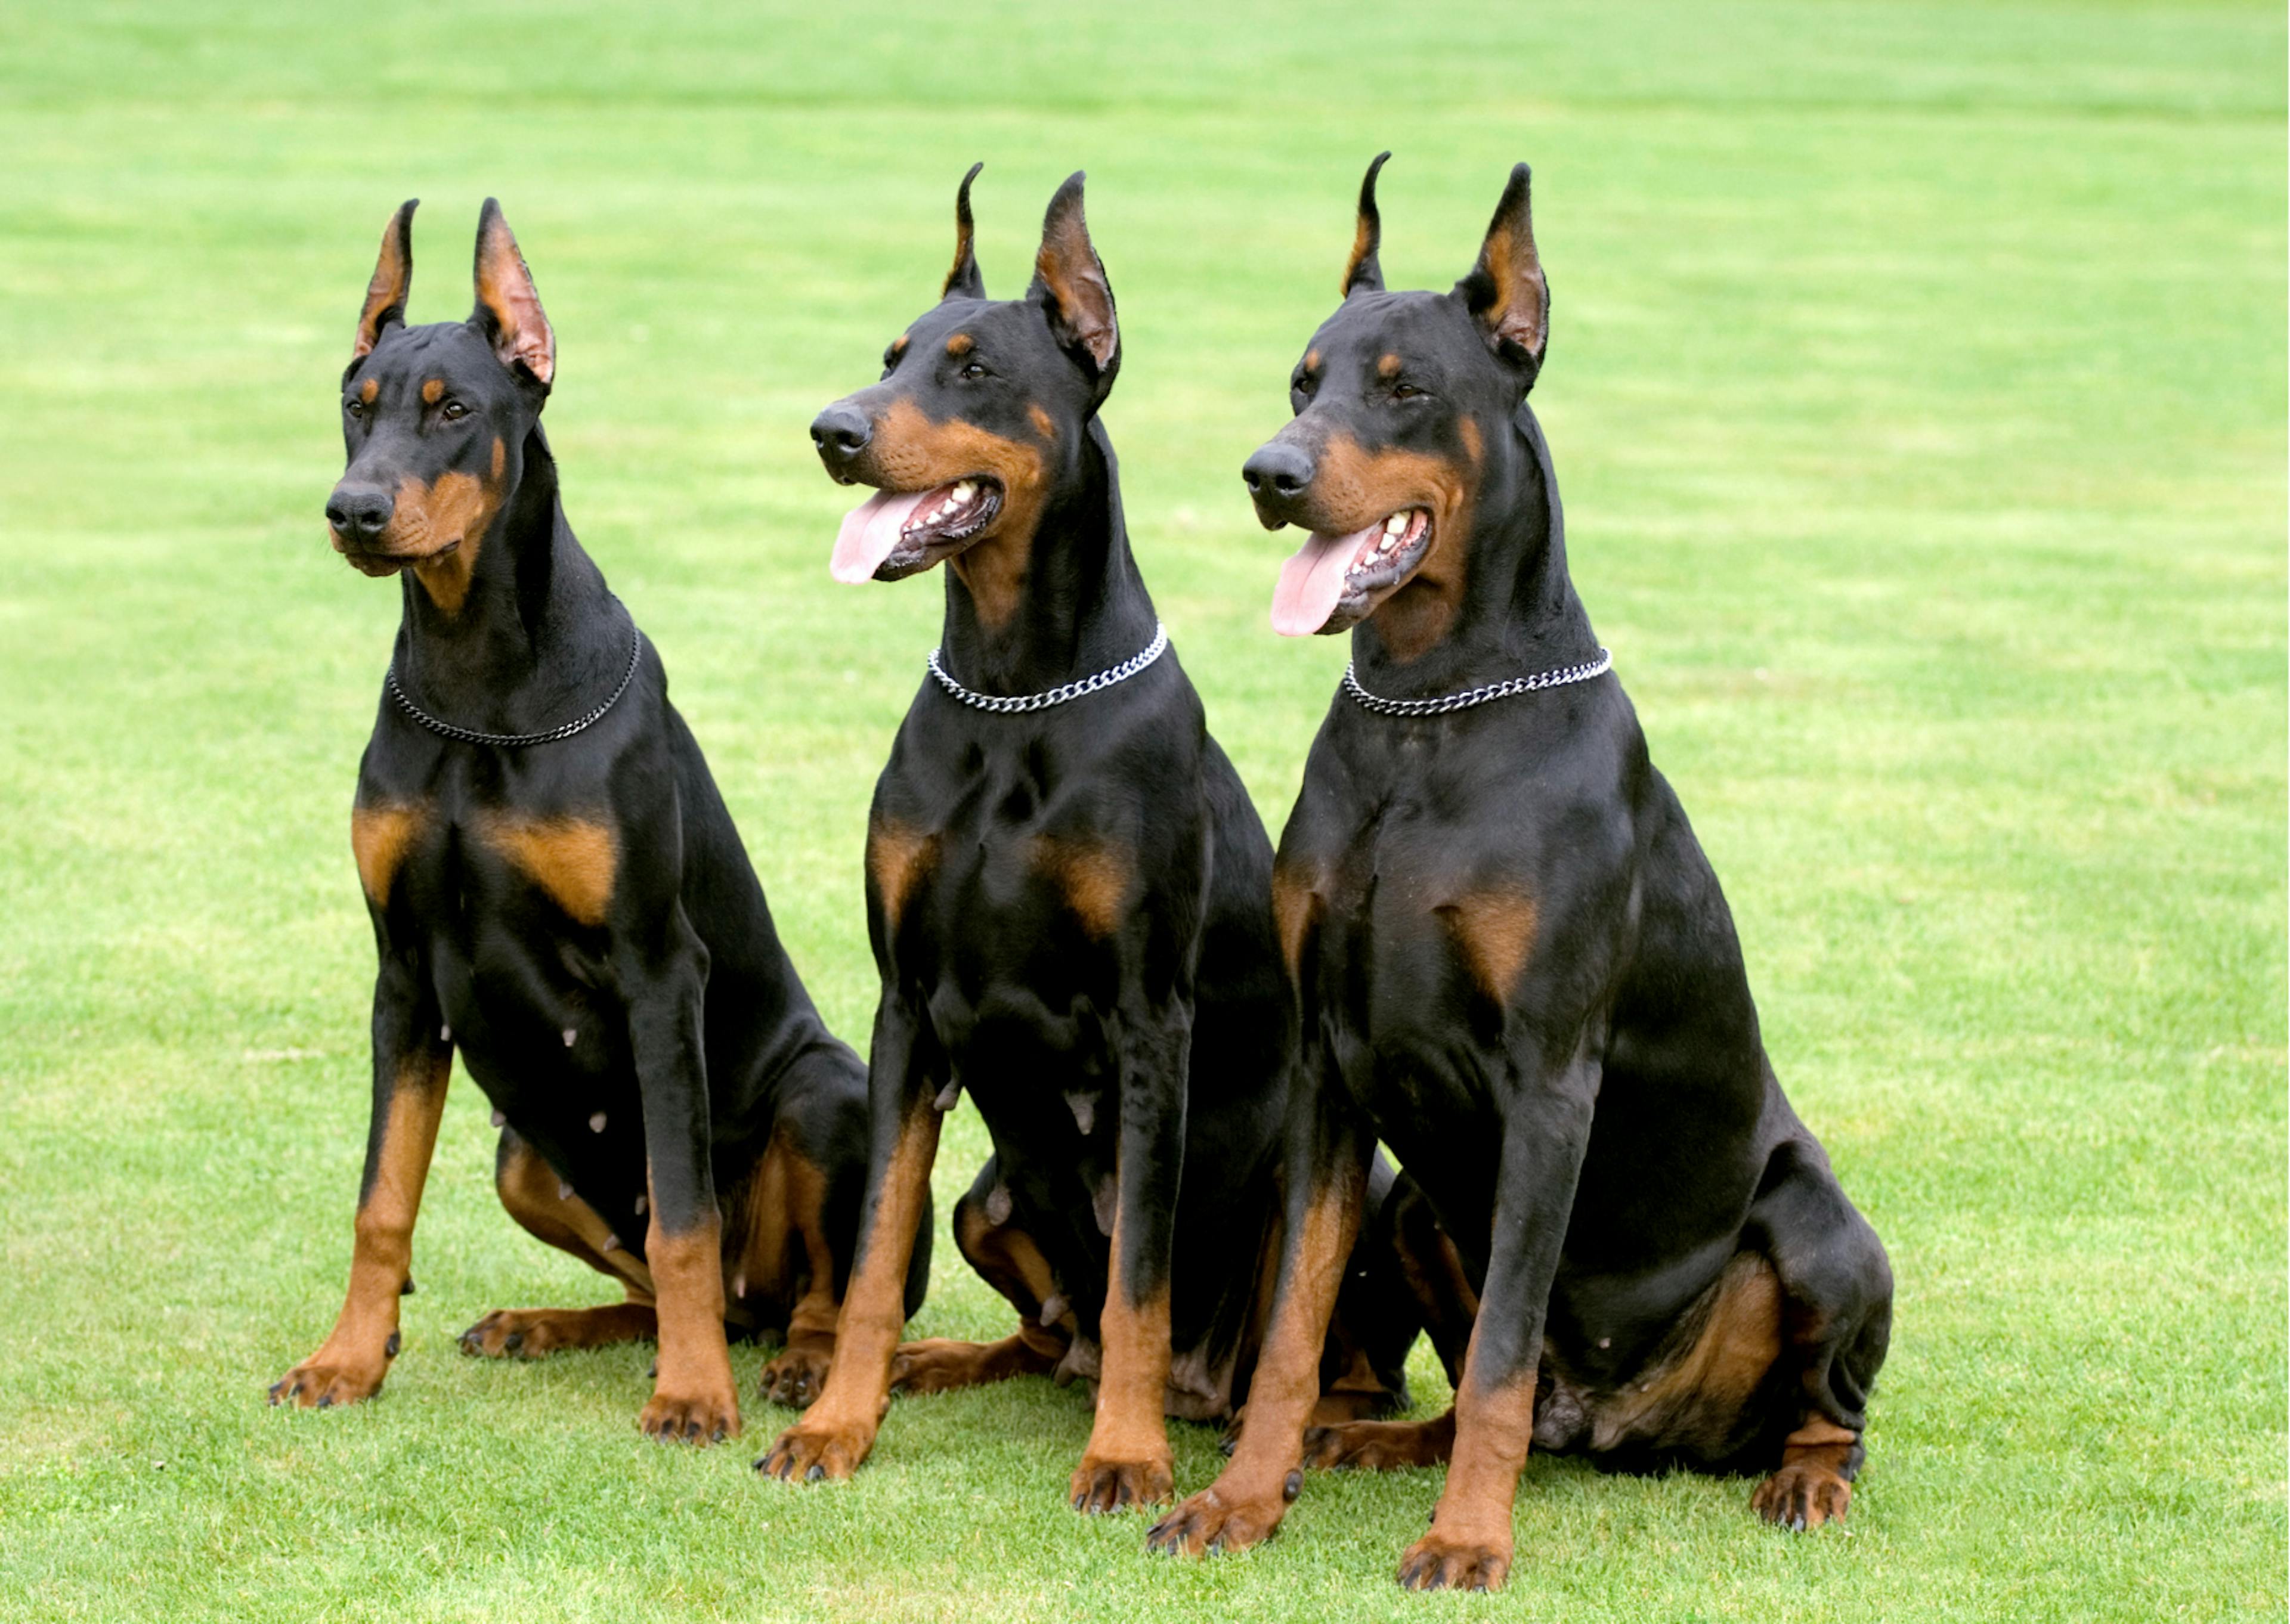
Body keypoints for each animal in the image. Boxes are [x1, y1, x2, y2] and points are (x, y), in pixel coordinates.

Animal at [262, 199, 920, 1448]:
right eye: (356, 402)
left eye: (454, 411)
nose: (353, 510)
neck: (478, 687)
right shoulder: (402, 975)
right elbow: (382, 1199)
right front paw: (346, 1359)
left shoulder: (657, 965)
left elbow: (685, 1215)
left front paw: (694, 1394)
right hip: (522, 1151)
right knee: (663, 1283)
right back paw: (549, 1322)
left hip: (822, 1093)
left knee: (806, 1282)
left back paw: (797, 1360)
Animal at [751, 168, 1438, 1511]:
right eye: (890, 358)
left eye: (969, 369)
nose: (831, 430)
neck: (1016, 696)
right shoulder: (906, 1009)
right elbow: (872, 1261)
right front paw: (839, 1422)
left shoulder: (1146, 1019)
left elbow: (1140, 1285)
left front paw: (1126, 1455)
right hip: (990, 1196)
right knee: (1048, 1332)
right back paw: (944, 1365)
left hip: (1338, 1192)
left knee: (1299, 1357)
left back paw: (1256, 1424)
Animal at [1145, 158, 1896, 1594]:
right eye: (1301, 381)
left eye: (1403, 388)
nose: (1269, 472)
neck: (1431, 713)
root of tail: (1627, 1424)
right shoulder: (1330, 1072)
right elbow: (1294, 1330)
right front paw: (1243, 1499)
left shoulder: (1551, 1082)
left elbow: (1499, 1349)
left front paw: (1466, 1541)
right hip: (1414, 1210)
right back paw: (1383, 1443)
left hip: (1821, 1228)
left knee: (1828, 1408)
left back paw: (1803, 1482)